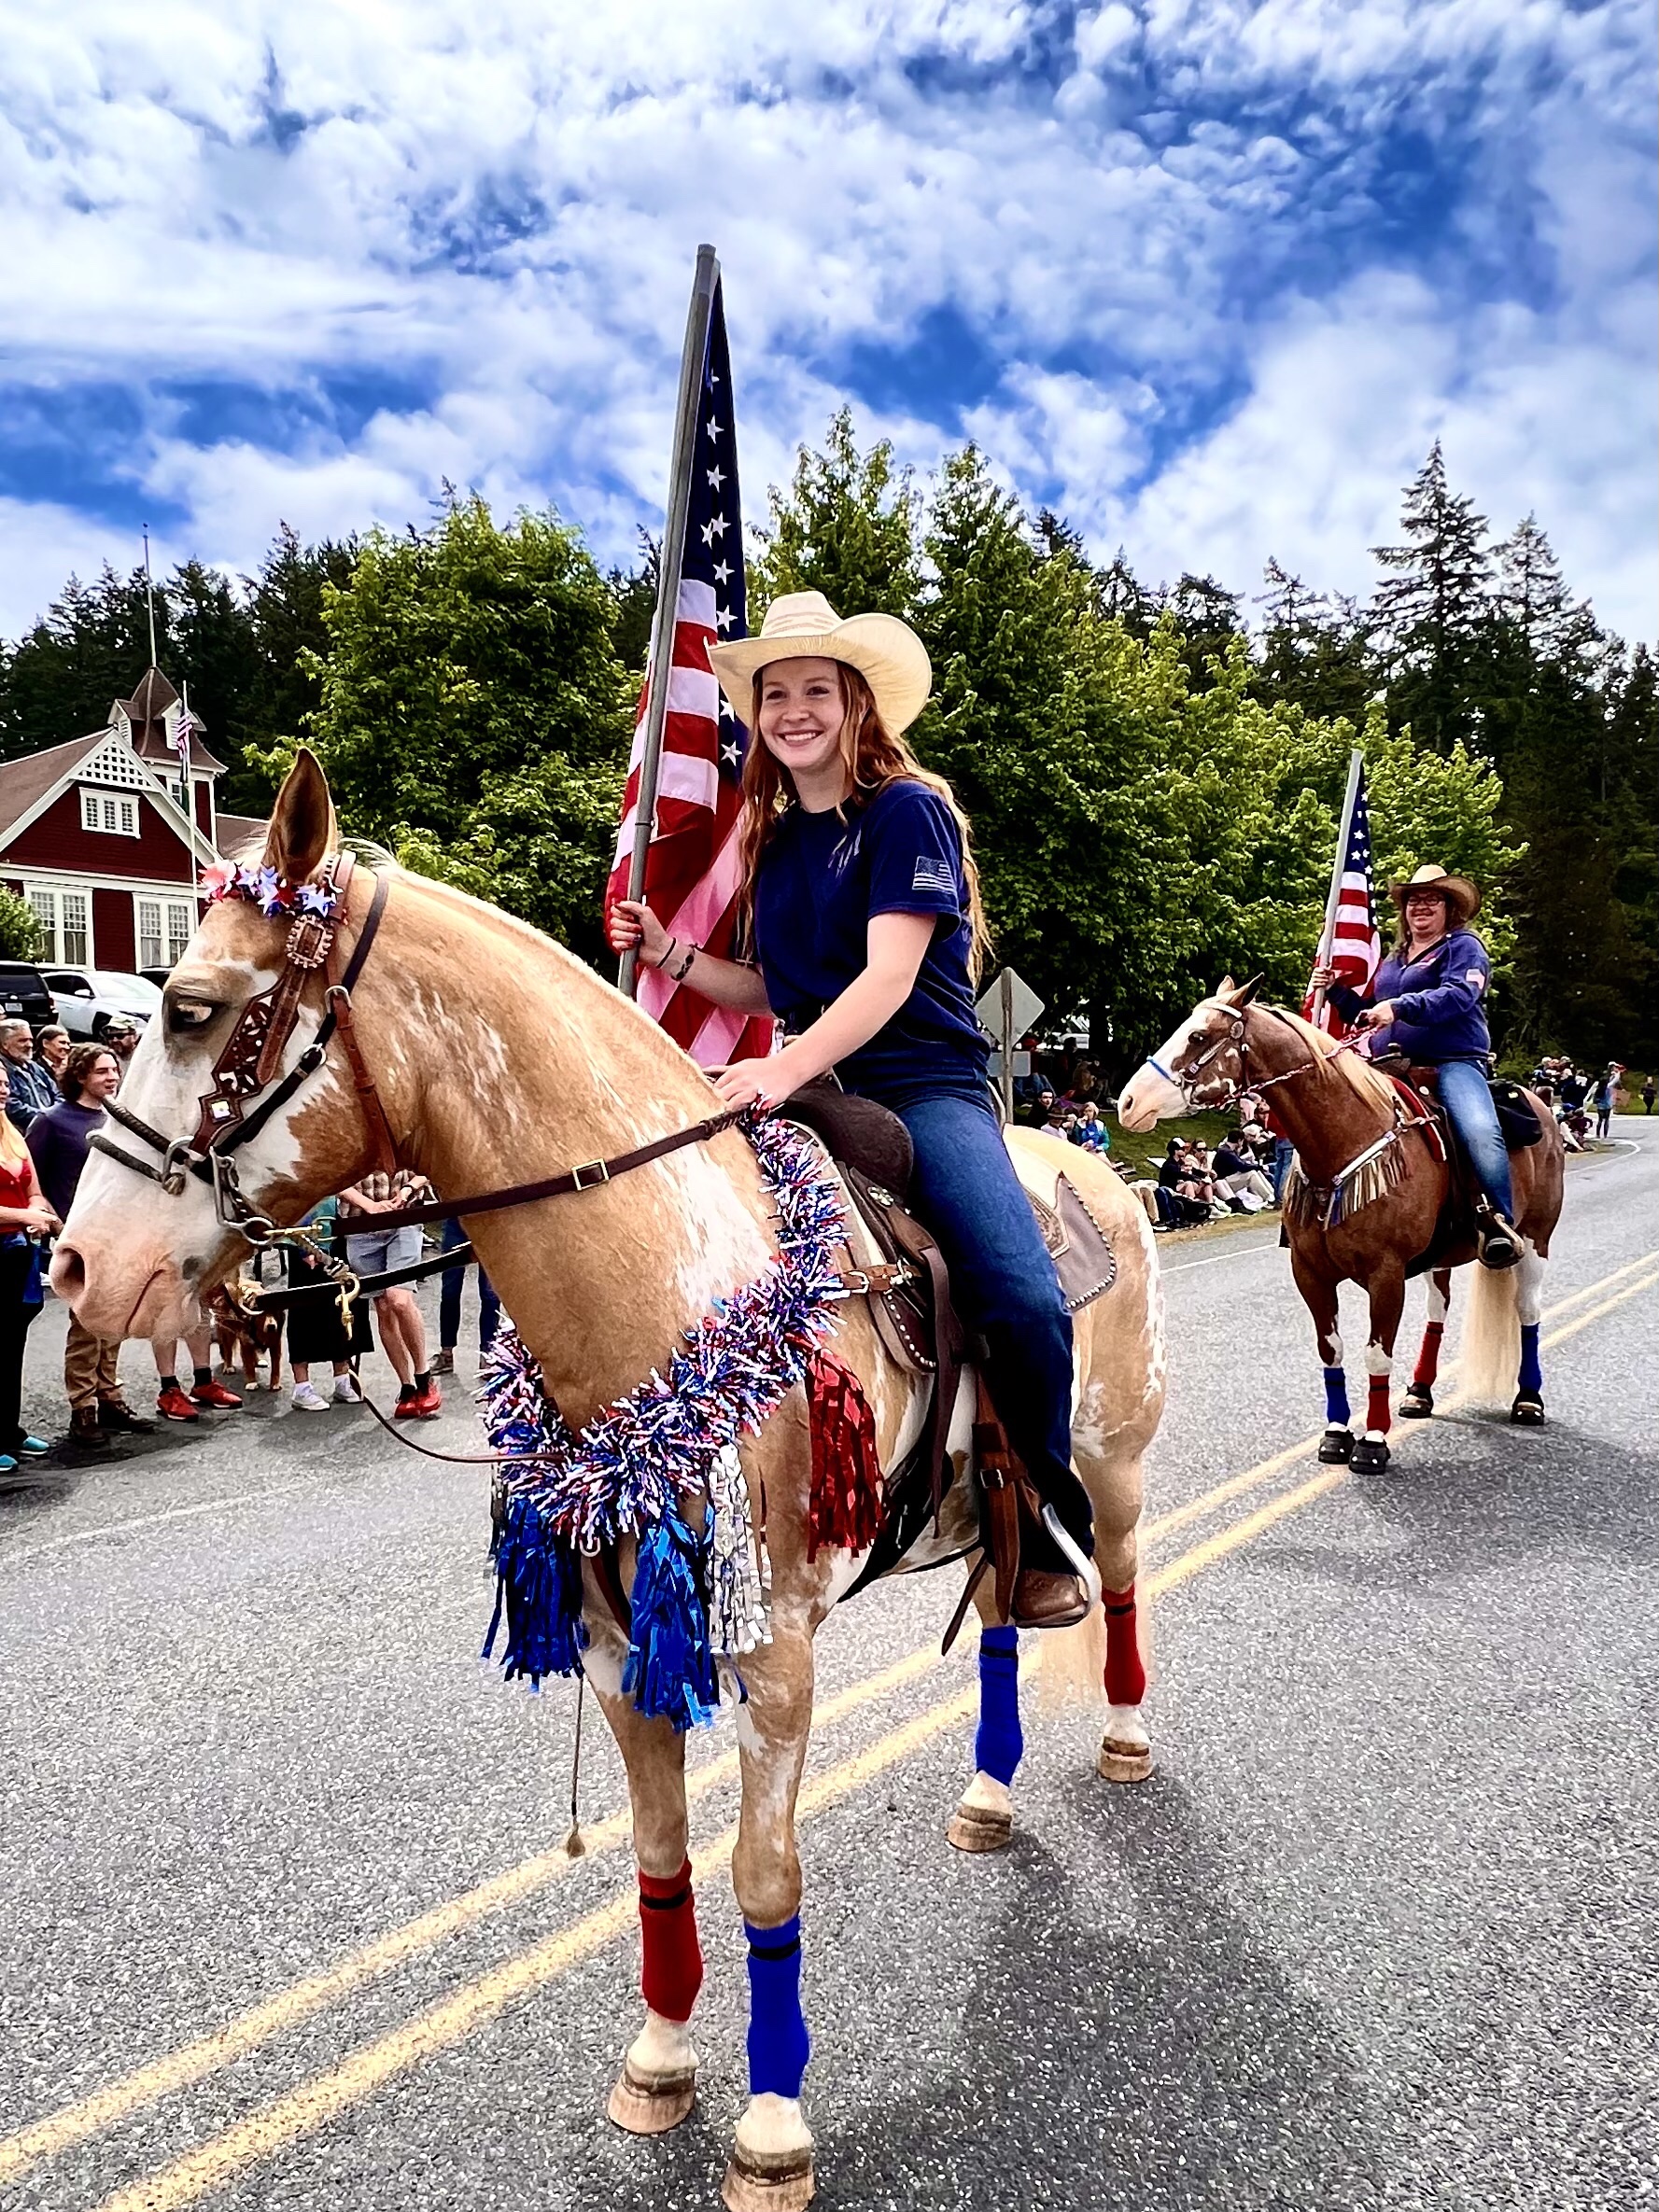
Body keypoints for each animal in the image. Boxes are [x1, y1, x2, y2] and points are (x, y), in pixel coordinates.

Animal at [54, 753, 1166, 2211]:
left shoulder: (775, 1651)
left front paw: (771, 2124)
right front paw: (658, 2062)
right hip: (993, 1502)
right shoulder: (614, 1637)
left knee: (1125, 1587)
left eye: (192, 1010)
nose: (78, 1267)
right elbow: (658, 1859)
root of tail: (1096, 1162)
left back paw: (1126, 1735)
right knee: (996, 1610)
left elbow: (762, 1875)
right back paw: (984, 1798)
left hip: (1115, 1462)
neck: (666, 1284)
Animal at [1117, 980, 1565, 1473]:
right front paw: (1336, 1434)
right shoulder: (1310, 1273)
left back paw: (1528, 1400)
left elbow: (1377, 1355)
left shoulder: (1387, 1275)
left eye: (1198, 1036)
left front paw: (1372, 1439)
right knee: (1438, 1310)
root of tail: (1543, 1106)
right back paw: (1420, 1393)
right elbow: (1331, 1350)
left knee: (1528, 1312)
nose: (1127, 1103)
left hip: (1536, 1240)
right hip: (1441, 1256)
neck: (1343, 1142)